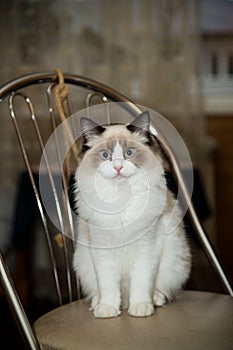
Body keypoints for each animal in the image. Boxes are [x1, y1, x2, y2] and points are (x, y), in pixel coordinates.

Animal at [73, 110, 191, 318]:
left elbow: (141, 282)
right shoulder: (102, 249)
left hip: (175, 260)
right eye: (105, 155)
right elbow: (108, 285)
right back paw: (98, 304)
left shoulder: (147, 246)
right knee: (98, 291)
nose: (118, 167)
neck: (122, 197)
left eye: (129, 153)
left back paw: (154, 300)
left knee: (160, 288)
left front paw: (141, 308)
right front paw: (108, 309)